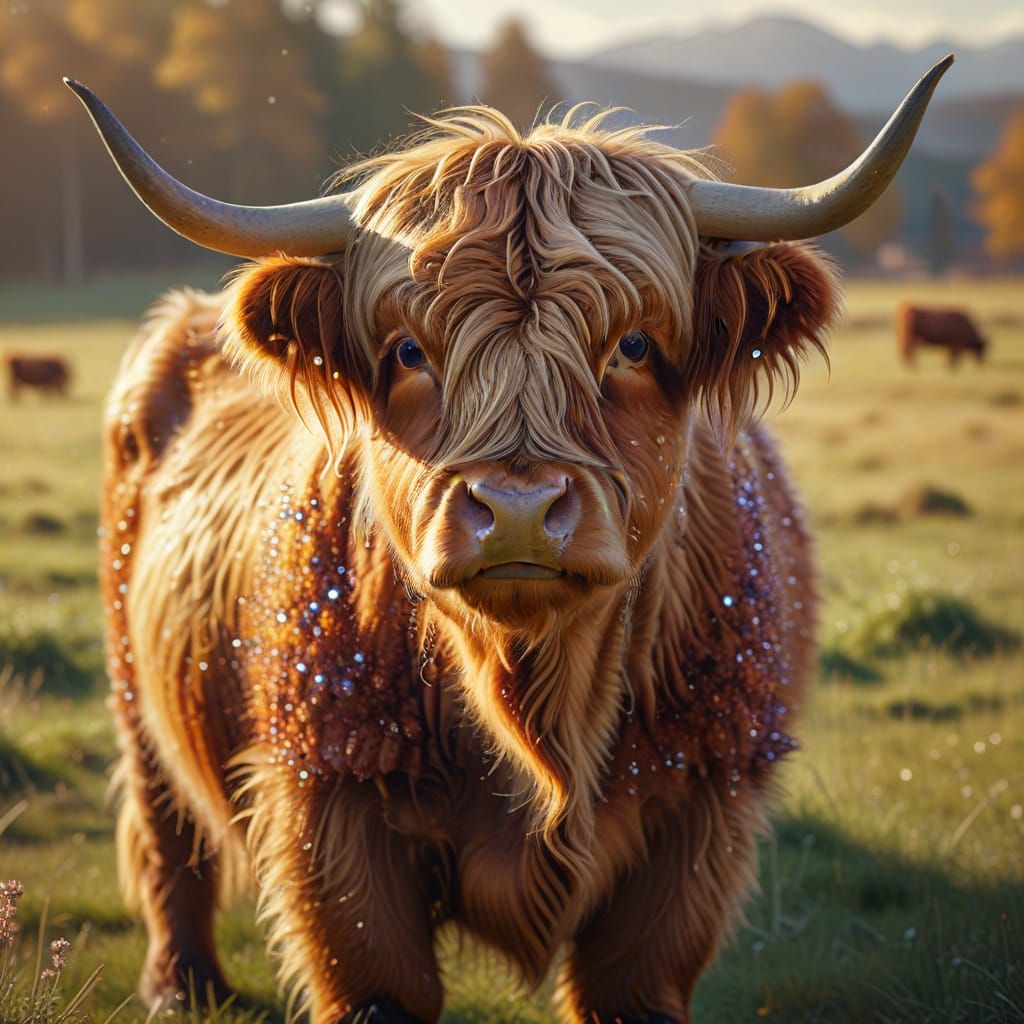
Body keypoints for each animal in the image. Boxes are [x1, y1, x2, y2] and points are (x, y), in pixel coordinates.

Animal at [66, 57, 951, 1024]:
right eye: (408, 351)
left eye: (633, 344)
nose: (519, 508)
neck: (542, 702)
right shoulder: (331, 803)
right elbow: (376, 978)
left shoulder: (704, 812)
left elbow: (631, 977)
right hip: (134, 685)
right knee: (167, 827)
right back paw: (178, 984)